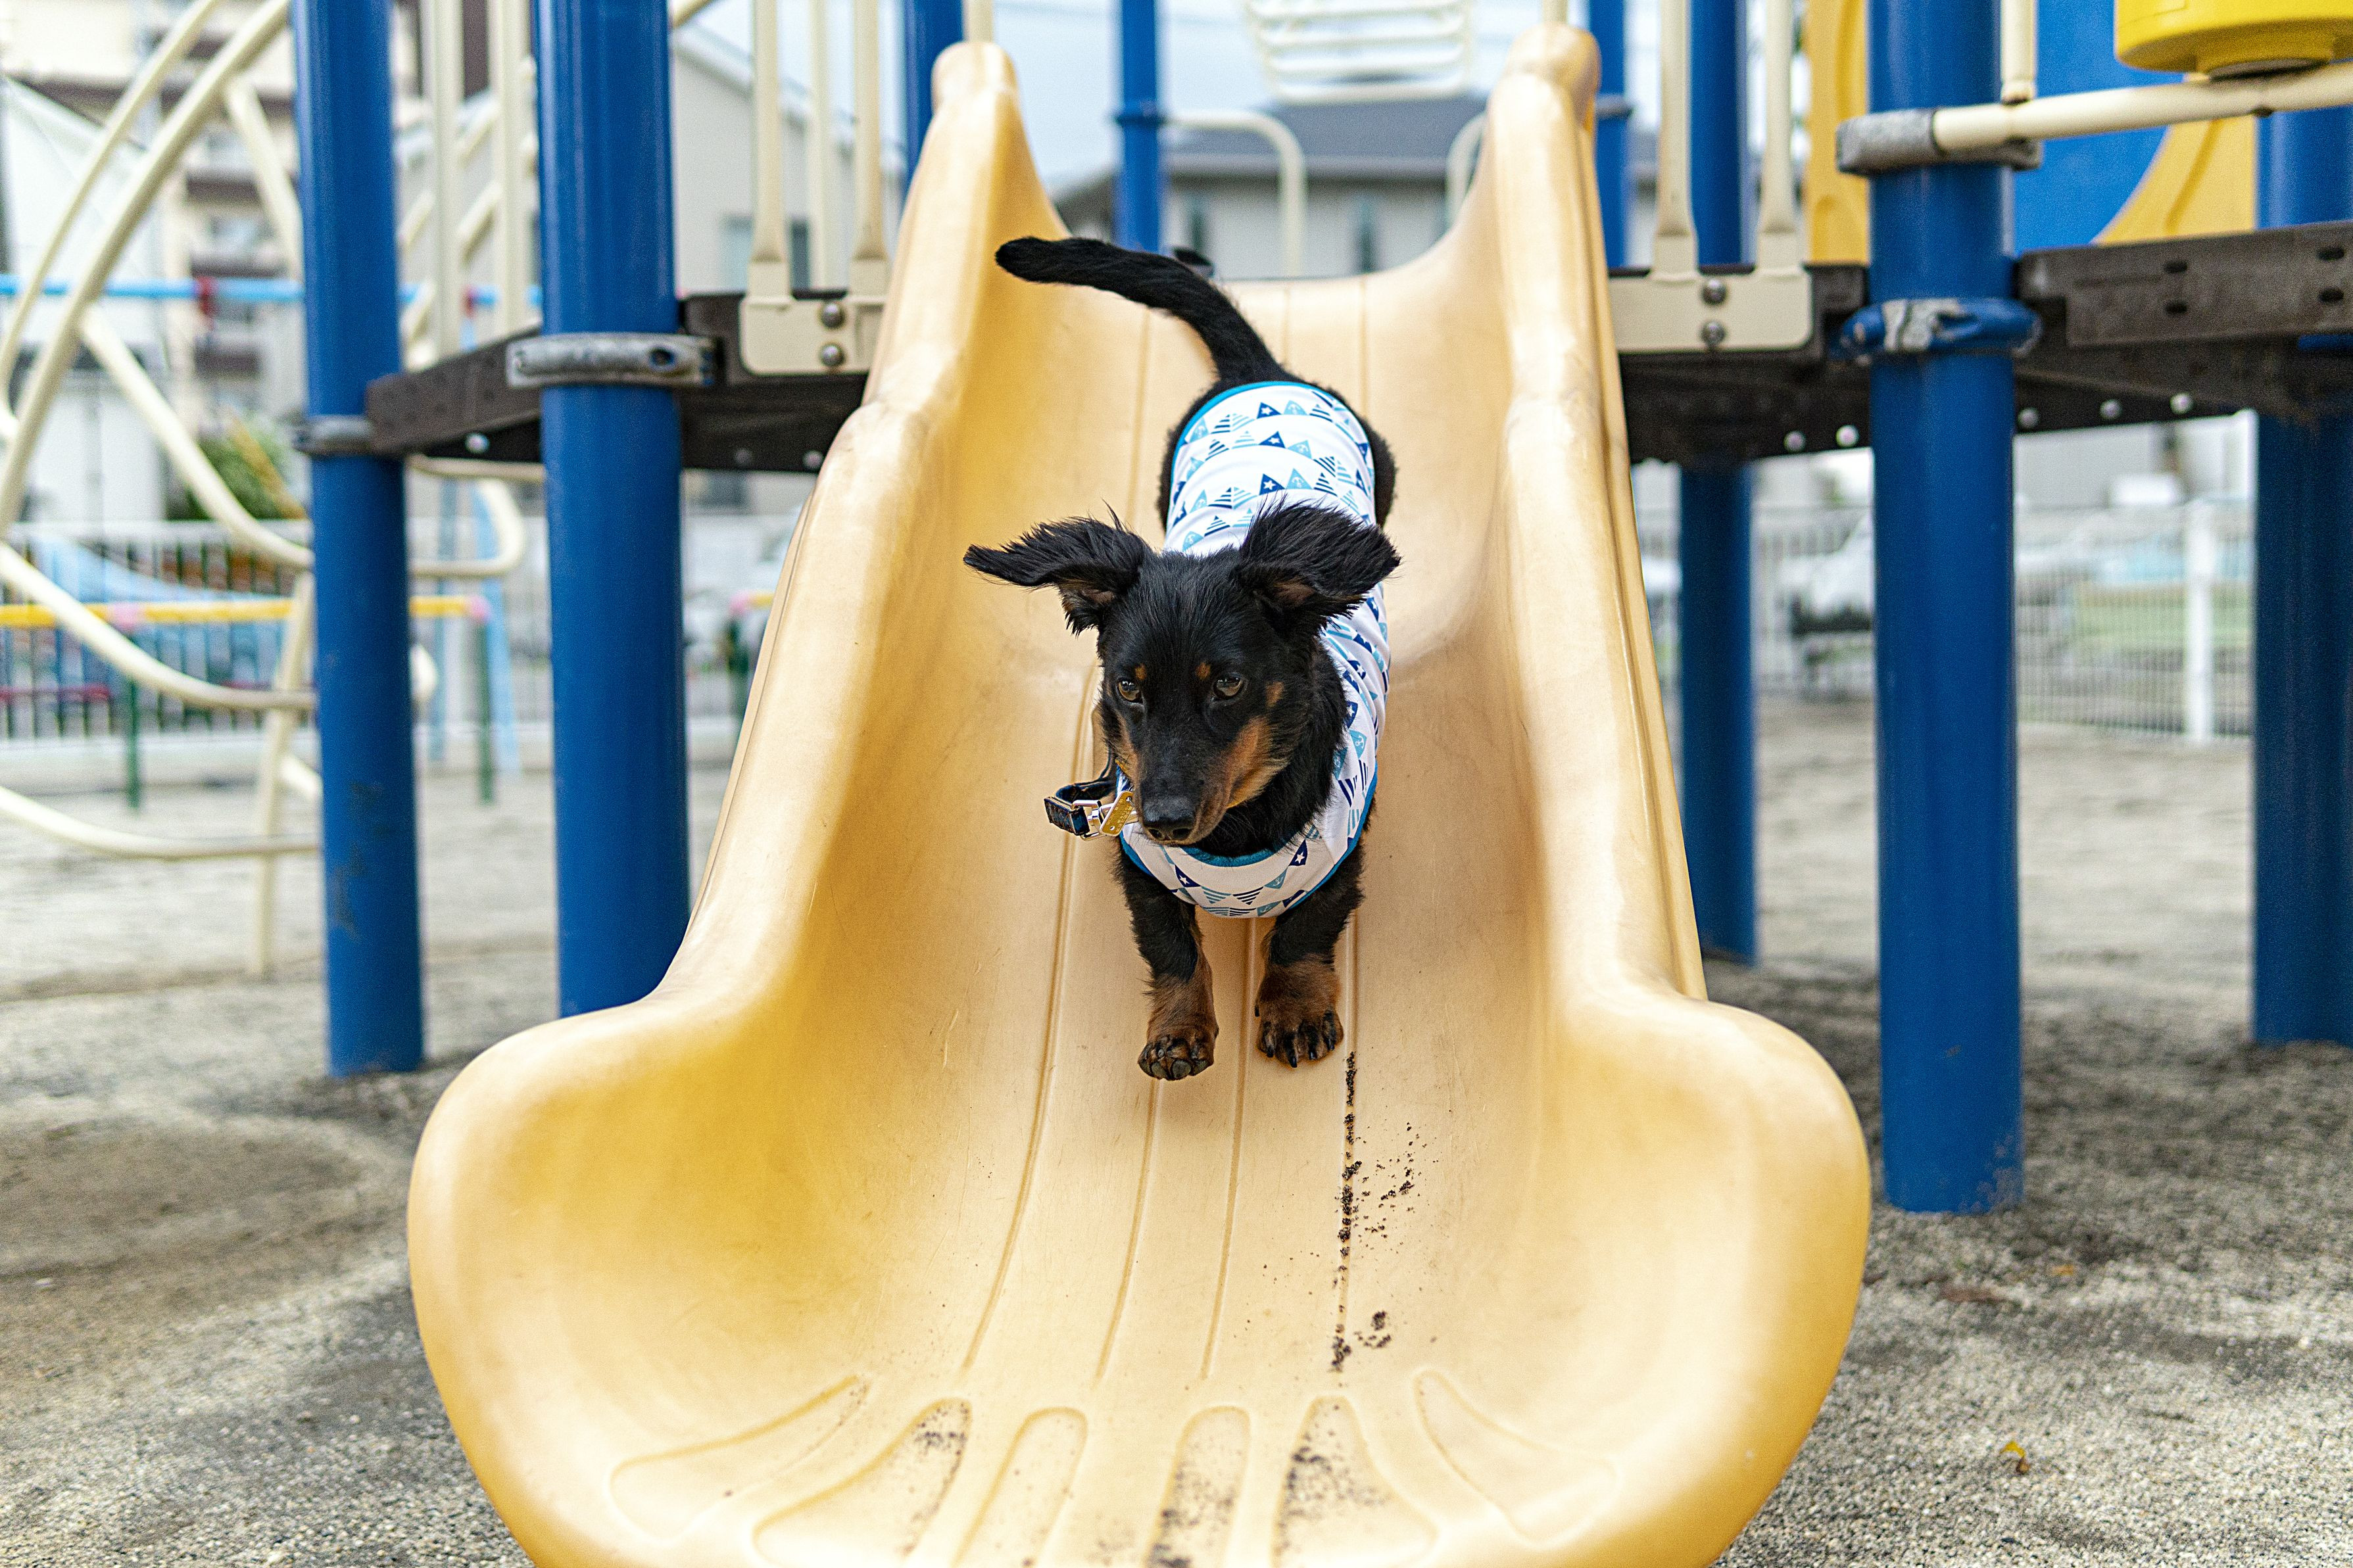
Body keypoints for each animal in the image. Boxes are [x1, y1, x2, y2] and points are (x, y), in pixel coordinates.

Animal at [966, 237, 1400, 1083]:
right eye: (1127, 688)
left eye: (1227, 684)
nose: (1164, 818)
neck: (1232, 832)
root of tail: (1260, 374)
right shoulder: (1135, 864)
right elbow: (1170, 947)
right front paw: (1178, 1030)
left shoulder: (1341, 852)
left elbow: (1303, 931)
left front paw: (1295, 1009)